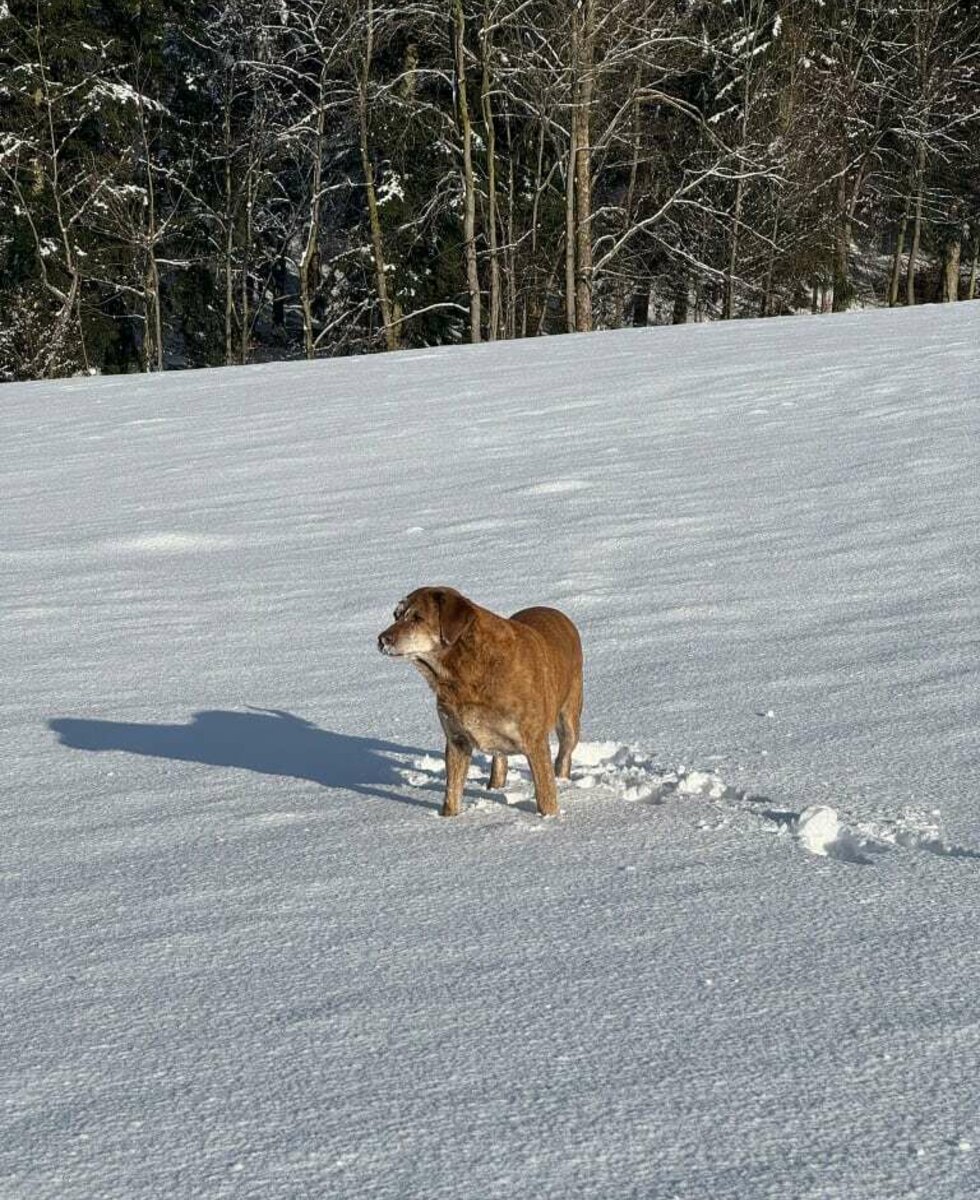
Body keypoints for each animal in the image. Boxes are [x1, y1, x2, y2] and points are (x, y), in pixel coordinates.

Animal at [376, 588, 580, 816]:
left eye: (417, 618)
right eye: (396, 615)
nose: (382, 639)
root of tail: (558, 613)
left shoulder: (534, 741)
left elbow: (546, 794)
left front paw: (550, 818)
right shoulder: (456, 739)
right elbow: (452, 792)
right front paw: (449, 818)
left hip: (570, 716)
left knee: (564, 752)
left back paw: (563, 780)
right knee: (499, 759)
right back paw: (496, 786)